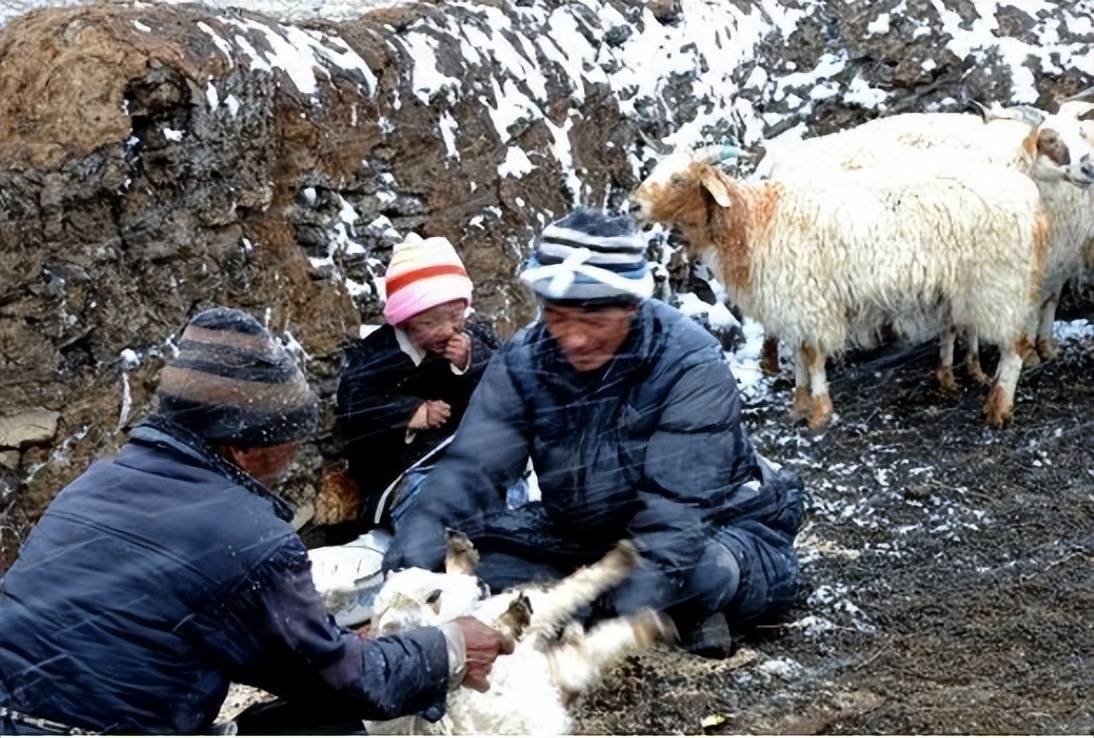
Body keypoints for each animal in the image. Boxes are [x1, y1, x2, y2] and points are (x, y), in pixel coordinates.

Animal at [365, 533, 673, 734]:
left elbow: (571, 592)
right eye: (433, 596)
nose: (481, 584)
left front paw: (623, 558)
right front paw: (650, 626)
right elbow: (587, 650)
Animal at [638, 145, 1045, 430]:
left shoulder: (809, 300)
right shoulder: (791, 304)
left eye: (679, 180)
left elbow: (812, 355)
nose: (634, 205)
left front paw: (819, 412)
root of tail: (1031, 198)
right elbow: (799, 354)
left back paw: (998, 408)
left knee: (1015, 347)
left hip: (998, 284)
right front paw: (798, 405)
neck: (753, 222)